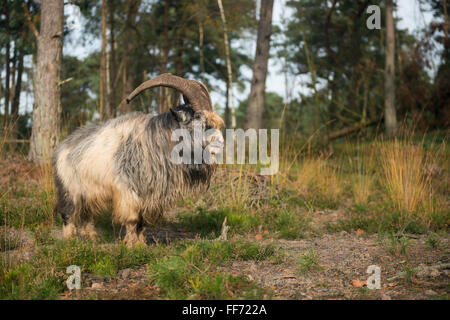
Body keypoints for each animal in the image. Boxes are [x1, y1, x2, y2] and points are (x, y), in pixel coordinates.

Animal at [52, 74, 225, 246]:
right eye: (200, 122)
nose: (221, 143)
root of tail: (61, 147)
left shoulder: (149, 195)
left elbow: (142, 222)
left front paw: (141, 244)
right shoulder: (127, 190)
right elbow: (132, 219)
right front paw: (130, 245)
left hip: (89, 191)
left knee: (86, 213)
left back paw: (92, 237)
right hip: (70, 188)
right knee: (68, 213)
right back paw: (69, 239)